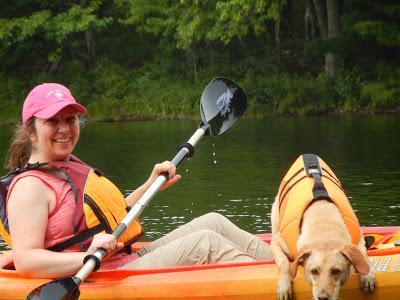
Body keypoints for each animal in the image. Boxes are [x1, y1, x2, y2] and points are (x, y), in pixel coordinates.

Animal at [270, 155, 376, 300]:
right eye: (314, 271)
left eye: (336, 271)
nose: (323, 297)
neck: (323, 222)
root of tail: (306, 155)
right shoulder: (276, 243)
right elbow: (284, 262)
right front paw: (284, 286)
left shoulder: (358, 237)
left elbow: (363, 253)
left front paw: (367, 276)